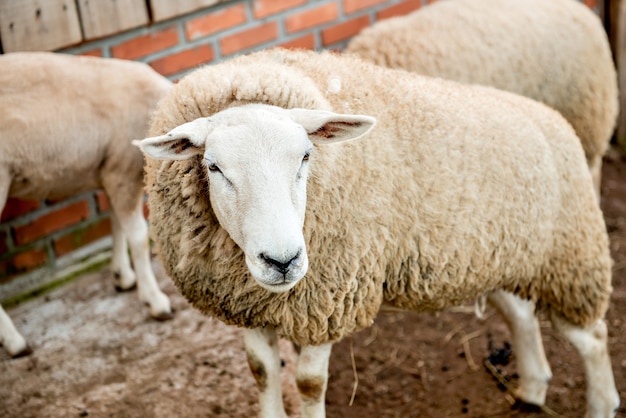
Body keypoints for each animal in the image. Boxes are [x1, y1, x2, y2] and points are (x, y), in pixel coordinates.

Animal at [1, 50, 176, 358]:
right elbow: (138, 237)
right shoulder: (122, 169)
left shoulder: (109, 171)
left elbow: (115, 224)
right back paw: (14, 341)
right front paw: (155, 300)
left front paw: (122, 276)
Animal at [134, 47, 616, 416]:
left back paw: (600, 403)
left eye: (306, 156)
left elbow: (309, 383)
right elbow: (261, 370)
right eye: (213, 167)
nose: (283, 261)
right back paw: (533, 388)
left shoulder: (329, 299)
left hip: (570, 258)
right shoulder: (245, 303)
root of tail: (555, 120)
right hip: (497, 257)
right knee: (521, 315)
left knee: (593, 337)